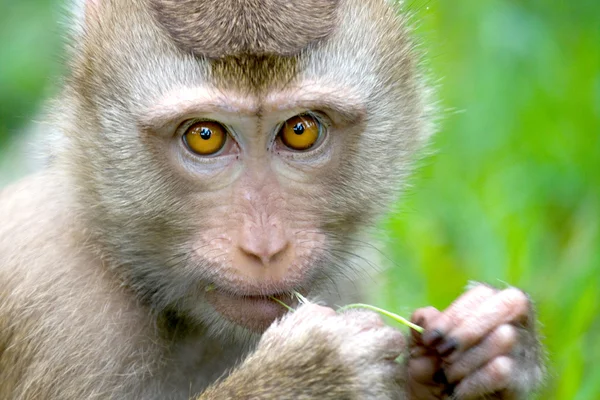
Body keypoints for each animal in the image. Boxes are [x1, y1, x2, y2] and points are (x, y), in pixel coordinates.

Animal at [0, 0, 544, 398]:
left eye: (301, 130)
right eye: (204, 137)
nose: (265, 248)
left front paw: (494, 343)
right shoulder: (59, 304)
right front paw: (314, 372)